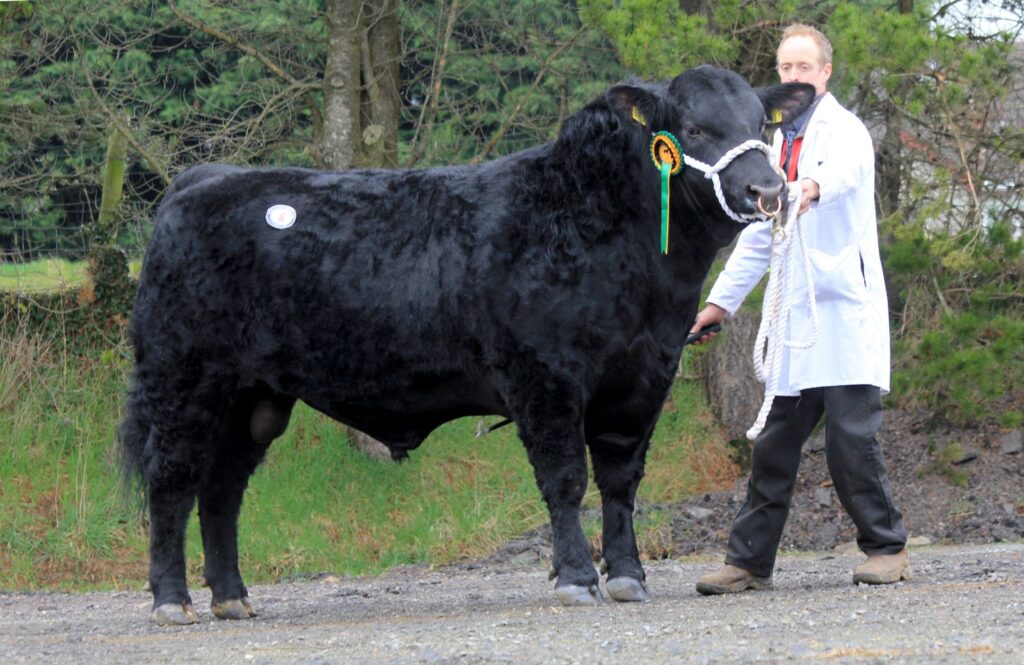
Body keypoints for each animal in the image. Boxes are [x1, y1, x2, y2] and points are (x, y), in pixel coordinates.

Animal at [120, 65, 815, 625]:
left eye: (763, 124)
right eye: (694, 128)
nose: (768, 191)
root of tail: (203, 181)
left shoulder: (643, 378)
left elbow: (621, 484)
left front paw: (627, 576)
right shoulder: (545, 379)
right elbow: (566, 479)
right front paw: (576, 578)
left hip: (254, 400)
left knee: (222, 489)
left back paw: (233, 598)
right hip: (184, 381)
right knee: (172, 481)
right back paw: (172, 601)